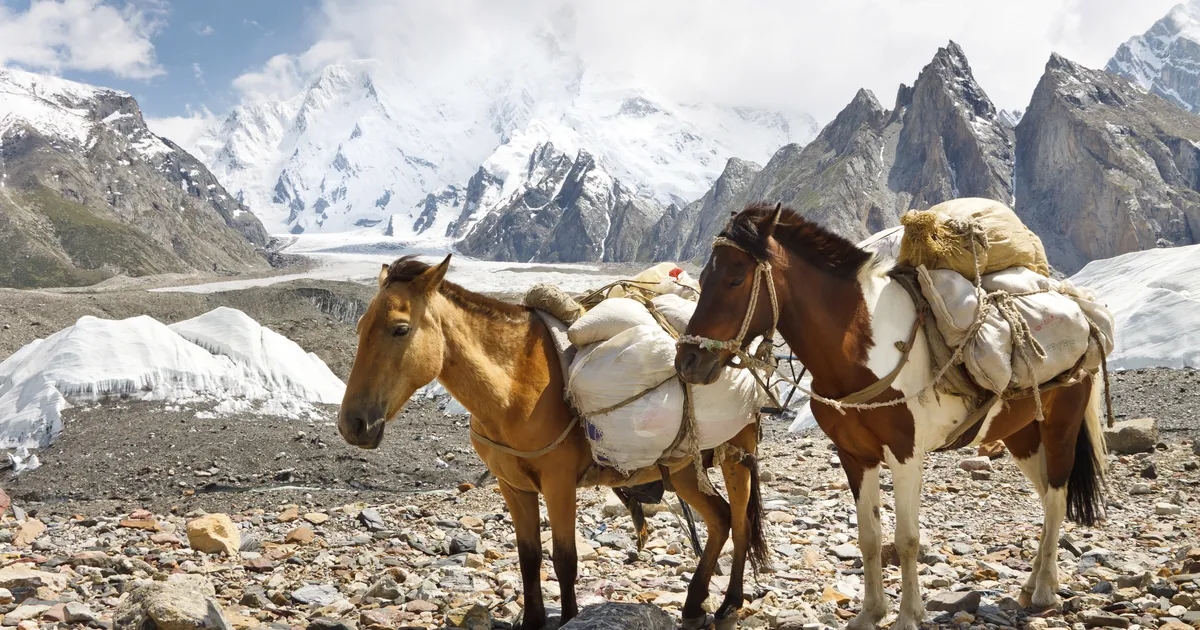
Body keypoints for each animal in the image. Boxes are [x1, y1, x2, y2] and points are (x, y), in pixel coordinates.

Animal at [338, 254, 768, 628]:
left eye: (400, 329)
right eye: (358, 328)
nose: (353, 424)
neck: (514, 387)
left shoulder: (559, 483)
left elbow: (564, 558)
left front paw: (570, 616)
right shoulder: (513, 486)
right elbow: (529, 557)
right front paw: (532, 620)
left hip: (736, 456)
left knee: (740, 522)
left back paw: (728, 604)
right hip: (681, 469)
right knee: (720, 518)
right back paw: (695, 605)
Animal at [676, 202, 1104, 628]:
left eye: (735, 279)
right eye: (704, 277)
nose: (688, 361)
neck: (859, 348)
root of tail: (1083, 316)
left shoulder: (905, 455)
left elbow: (906, 539)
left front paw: (908, 616)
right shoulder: (855, 456)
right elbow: (870, 537)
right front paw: (870, 613)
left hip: (1060, 427)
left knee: (1056, 498)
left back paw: (1045, 590)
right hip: (1021, 435)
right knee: (1046, 494)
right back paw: (1032, 585)